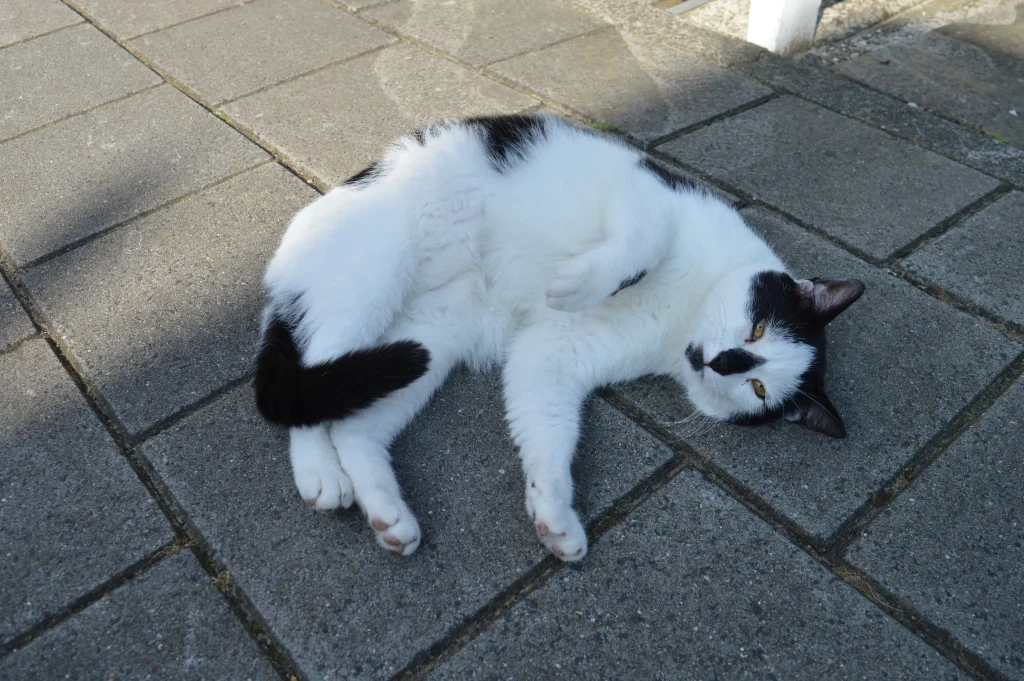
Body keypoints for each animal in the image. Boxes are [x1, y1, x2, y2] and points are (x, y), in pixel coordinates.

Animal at [254, 113, 865, 562]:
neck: (687, 309)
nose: (722, 361)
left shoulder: (553, 352)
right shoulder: (649, 192)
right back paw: (318, 472)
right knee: (301, 380)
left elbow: (548, 432)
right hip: (373, 275)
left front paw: (552, 511)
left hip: (421, 347)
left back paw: (388, 514)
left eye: (758, 389)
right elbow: (643, 242)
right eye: (757, 328)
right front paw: (582, 281)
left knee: (350, 420)